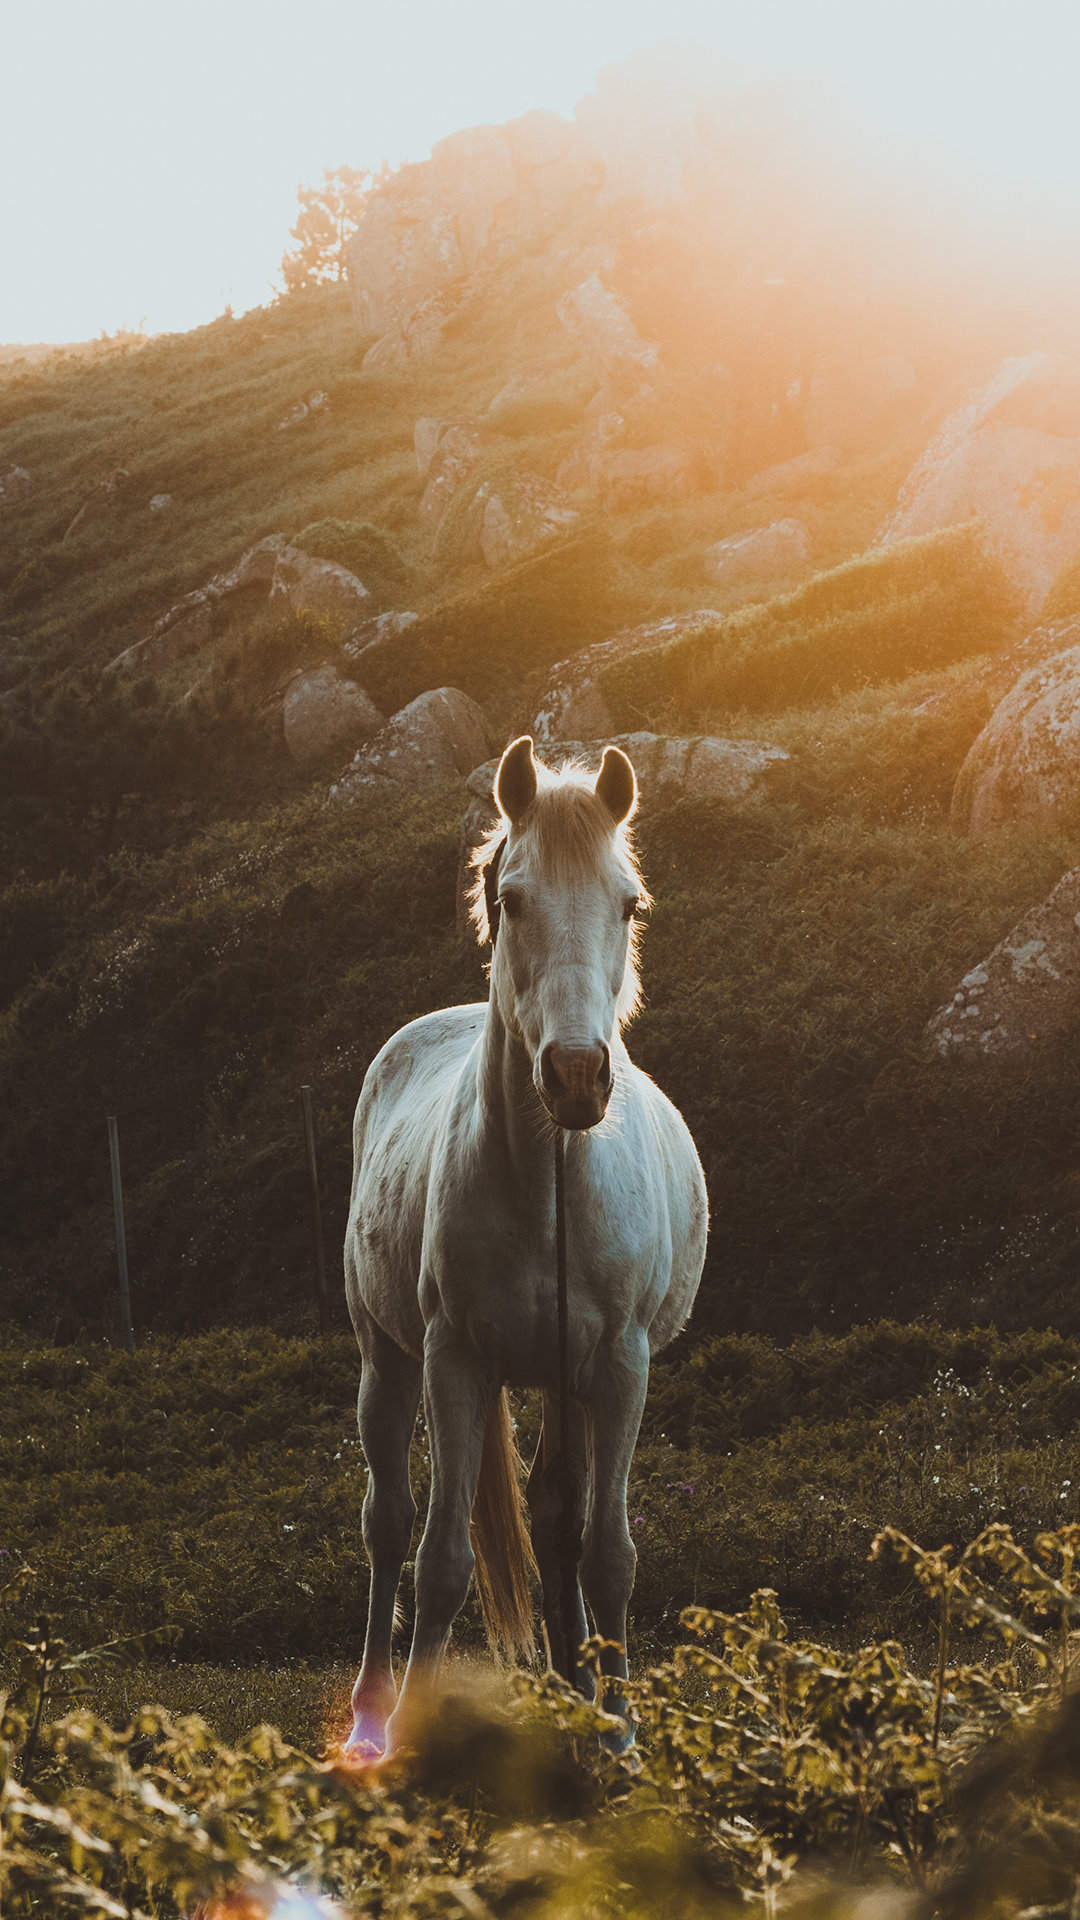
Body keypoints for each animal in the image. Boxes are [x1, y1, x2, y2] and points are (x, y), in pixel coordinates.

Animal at [342, 733, 707, 1758]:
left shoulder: (618, 1366)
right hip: (386, 1360)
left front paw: (618, 1733)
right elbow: (440, 1559)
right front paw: (413, 1737)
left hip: (563, 1381)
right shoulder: (455, 1361)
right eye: (512, 900)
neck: (548, 1185)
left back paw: (575, 1695)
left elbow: (607, 1553)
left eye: (629, 903)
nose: (577, 1076)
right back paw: (371, 1714)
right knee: (388, 1525)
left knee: (555, 1524)